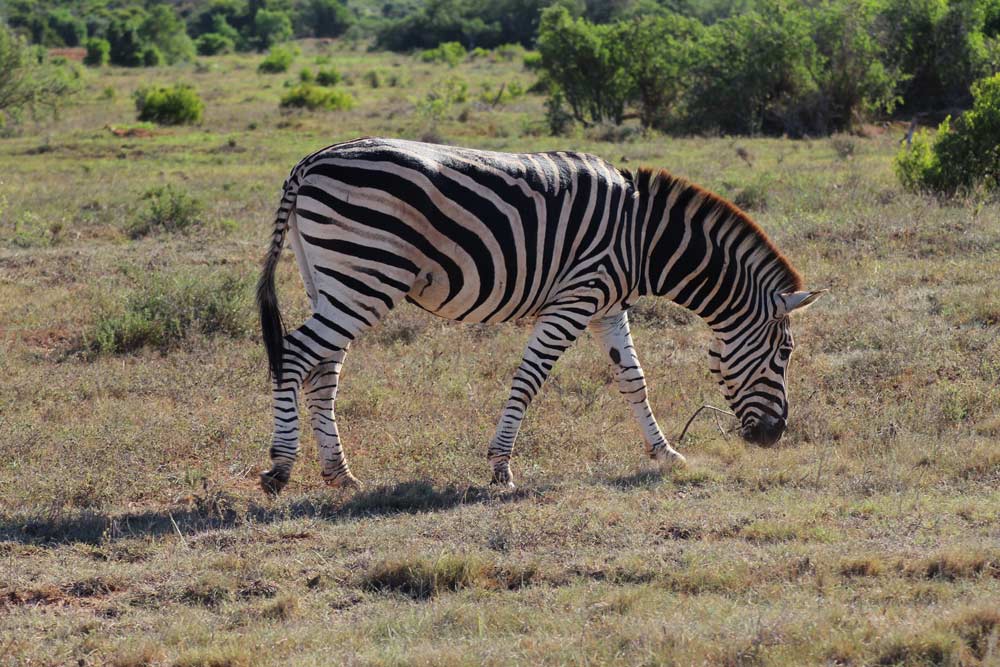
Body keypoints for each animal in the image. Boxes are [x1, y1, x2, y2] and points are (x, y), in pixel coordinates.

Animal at [254, 137, 824, 496]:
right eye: (785, 353)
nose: (774, 436)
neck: (642, 242)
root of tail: (310, 161)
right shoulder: (574, 299)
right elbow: (529, 379)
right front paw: (502, 468)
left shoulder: (606, 307)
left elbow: (634, 379)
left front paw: (666, 455)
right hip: (365, 274)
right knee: (297, 354)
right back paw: (280, 467)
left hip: (334, 279)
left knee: (324, 369)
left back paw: (340, 474)